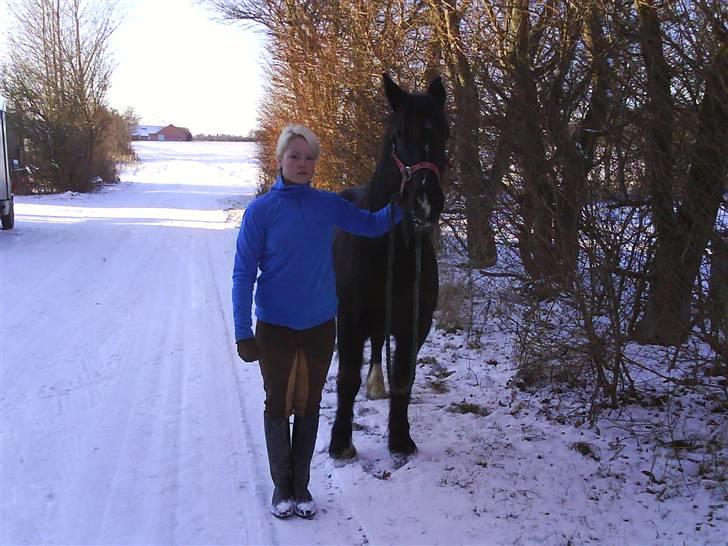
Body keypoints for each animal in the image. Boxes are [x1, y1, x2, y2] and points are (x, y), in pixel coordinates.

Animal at [329, 73, 449, 458]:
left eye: (444, 135)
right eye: (397, 137)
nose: (425, 201)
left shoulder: (415, 325)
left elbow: (403, 378)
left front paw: (399, 438)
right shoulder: (350, 320)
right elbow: (347, 379)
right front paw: (341, 442)